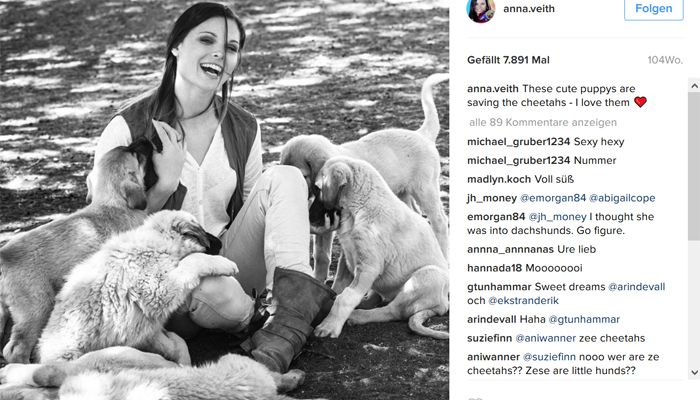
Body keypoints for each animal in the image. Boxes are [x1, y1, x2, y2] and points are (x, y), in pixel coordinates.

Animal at [0, 138, 154, 364]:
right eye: (135, 153)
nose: (145, 140)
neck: (112, 204)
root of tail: (4, 257)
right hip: (37, 308)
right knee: (15, 349)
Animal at [36, 210, 238, 365]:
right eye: (203, 232)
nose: (221, 243)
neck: (158, 240)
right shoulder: (157, 290)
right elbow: (193, 261)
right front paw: (224, 264)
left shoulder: (147, 330)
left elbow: (176, 343)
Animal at [279, 73, 449, 283]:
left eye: (302, 175)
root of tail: (422, 135)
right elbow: (321, 255)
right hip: (401, 194)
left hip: (425, 189)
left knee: (440, 221)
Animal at [311, 157, 449, 340]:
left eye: (318, 188)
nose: (310, 217)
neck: (360, 206)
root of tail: (444, 303)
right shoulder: (350, 256)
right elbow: (341, 287)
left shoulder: (369, 266)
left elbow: (346, 297)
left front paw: (329, 326)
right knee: (376, 298)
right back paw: (363, 305)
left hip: (427, 276)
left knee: (393, 311)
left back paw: (359, 316)